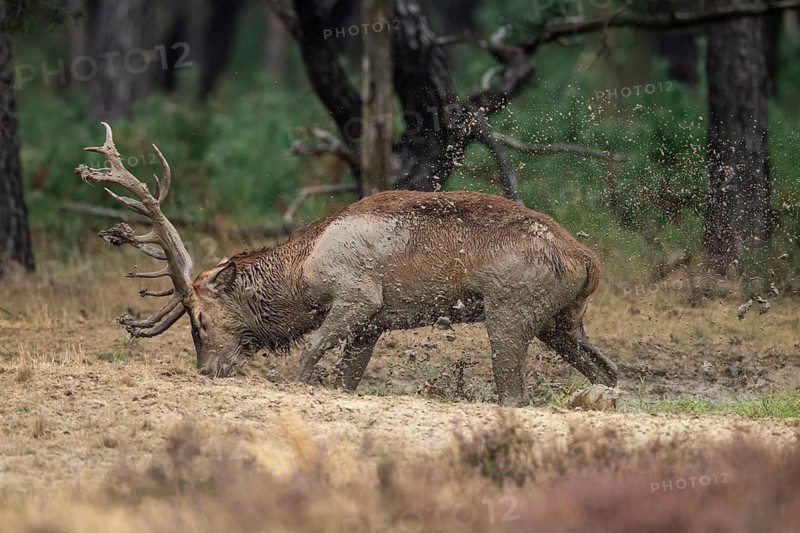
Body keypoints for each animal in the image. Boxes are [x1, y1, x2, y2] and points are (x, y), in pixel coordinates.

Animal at [76, 123, 618, 406]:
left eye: (200, 321)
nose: (207, 371)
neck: (302, 276)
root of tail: (589, 260)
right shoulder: (372, 327)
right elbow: (345, 378)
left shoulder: (359, 297)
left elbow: (311, 353)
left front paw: (289, 382)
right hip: (561, 321)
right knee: (607, 369)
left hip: (510, 309)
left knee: (515, 393)